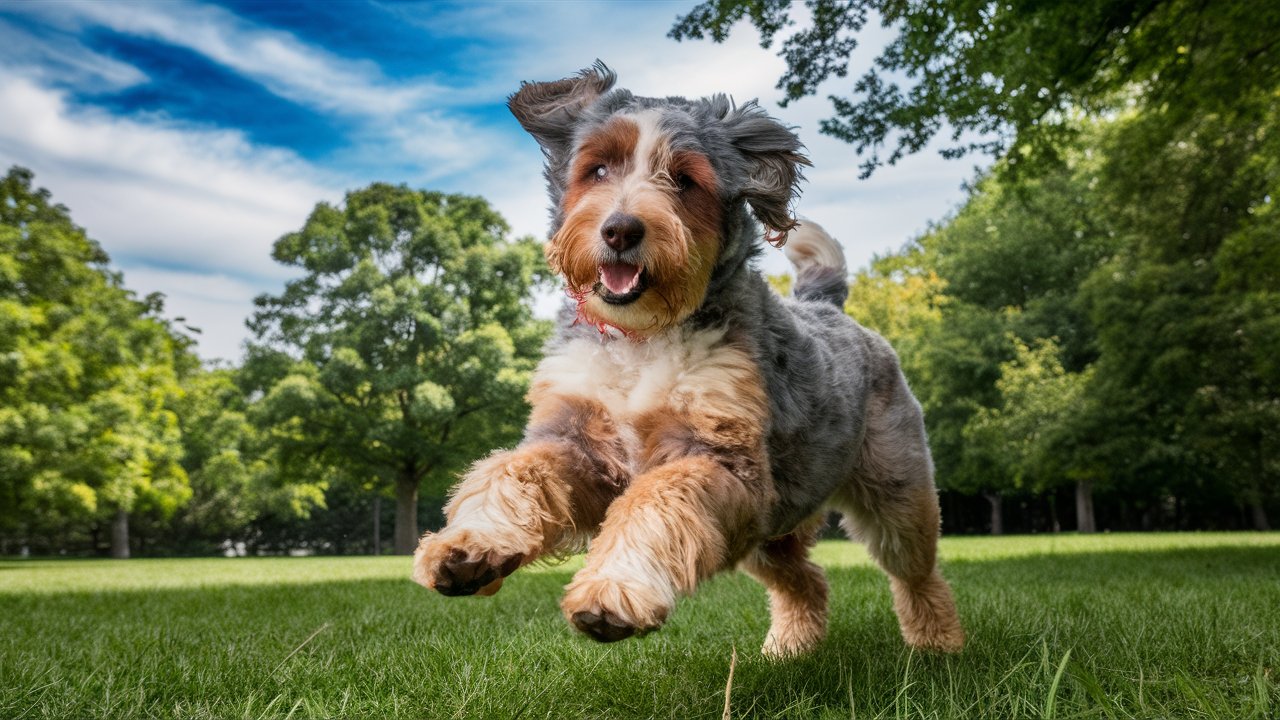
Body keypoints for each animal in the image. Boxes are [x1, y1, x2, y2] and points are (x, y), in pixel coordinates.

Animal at [414, 63, 962, 655]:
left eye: (684, 180)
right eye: (598, 168)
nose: (621, 229)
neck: (641, 339)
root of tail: (826, 306)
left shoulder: (716, 455)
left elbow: (654, 499)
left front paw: (613, 590)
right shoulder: (577, 441)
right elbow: (514, 470)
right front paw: (466, 546)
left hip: (894, 493)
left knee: (917, 574)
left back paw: (938, 646)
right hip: (769, 529)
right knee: (806, 580)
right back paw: (788, 650)